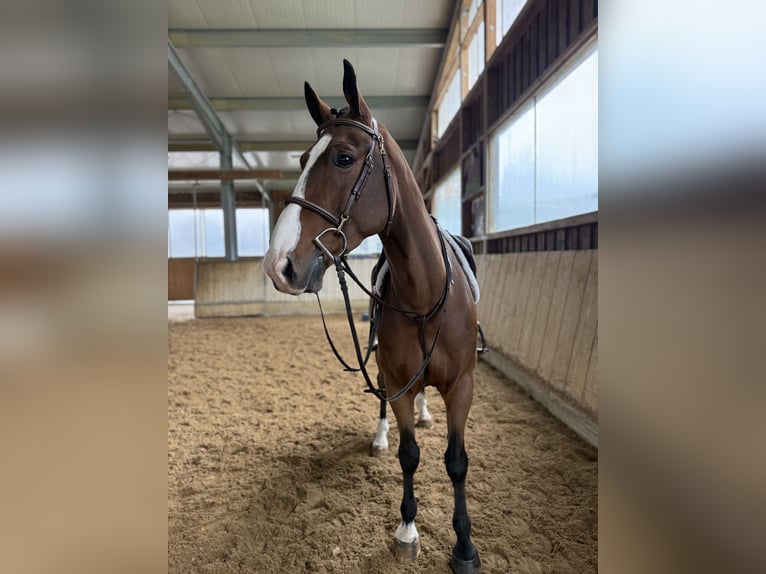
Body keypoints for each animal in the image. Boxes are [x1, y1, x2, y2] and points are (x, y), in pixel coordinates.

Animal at [263, 60, 482, 574]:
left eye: (343, 158)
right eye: (302, 160)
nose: (278, 265)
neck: (424, 298)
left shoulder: (462, 386)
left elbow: (456, 461)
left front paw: (464, 546)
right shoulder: (397, 376)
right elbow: (409, 454)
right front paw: (407, 530)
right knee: (383, 395)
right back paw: (382, 435)